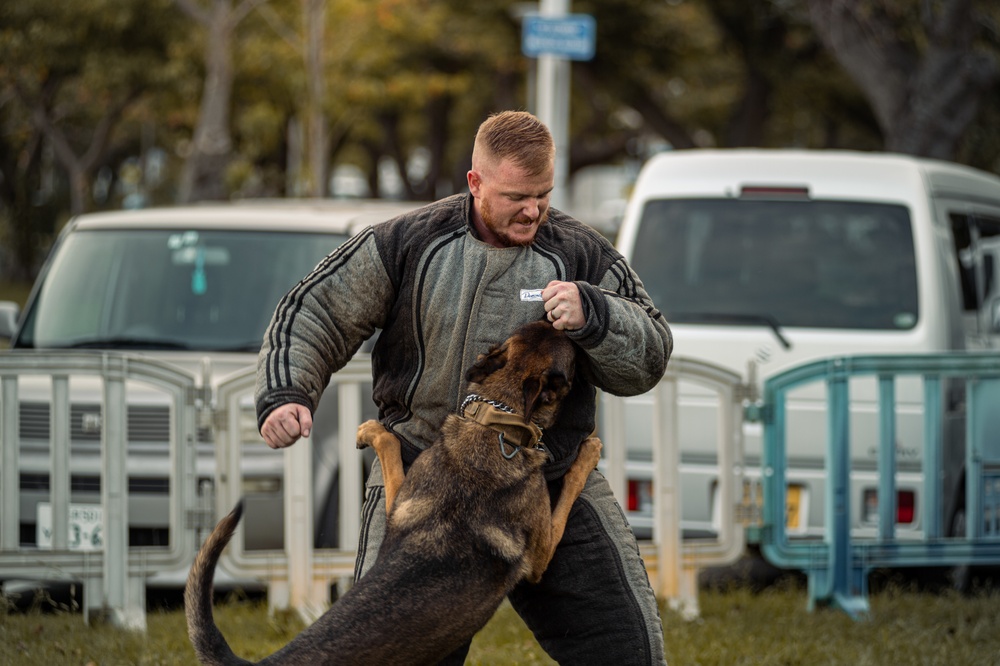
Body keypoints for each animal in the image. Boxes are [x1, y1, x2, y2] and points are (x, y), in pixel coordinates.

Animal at [187, 320, 604, 660]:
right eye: (567, 344)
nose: (556, 310)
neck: (496, 424)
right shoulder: (541, 554)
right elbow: (568, 491)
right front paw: (589, 450)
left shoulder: (399, 502)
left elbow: (388, 447)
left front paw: (370, 430)